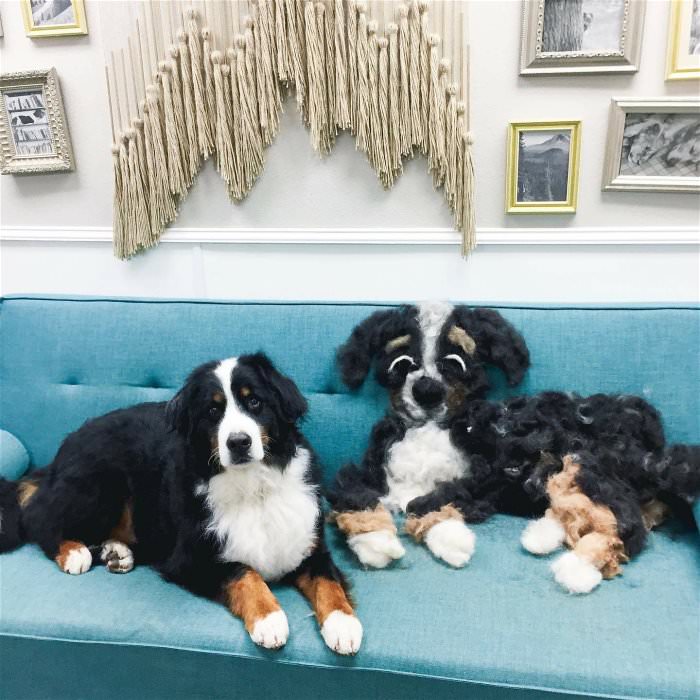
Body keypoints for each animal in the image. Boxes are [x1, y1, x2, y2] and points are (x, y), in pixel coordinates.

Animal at [0, 353, 362, 654]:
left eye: (255, 402)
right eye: (213, 411)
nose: (239, 442)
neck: (252, 487)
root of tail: (65, 446)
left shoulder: (308, 547)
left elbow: (329, 583)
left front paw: (343, 625)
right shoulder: (190, 559)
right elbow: (244, 573)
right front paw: (269, 619)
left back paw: (116, 552)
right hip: (99, 482)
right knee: (39, 518)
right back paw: (74, 552)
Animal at [327, 301, 530, 569]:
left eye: (455, 362)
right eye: (401, 363)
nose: (426, 390)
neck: (427, 429)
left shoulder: (476, 482)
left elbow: (440, 499)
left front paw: (452, 539)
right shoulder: (367, 473)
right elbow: (360, 500)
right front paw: (376, 543)